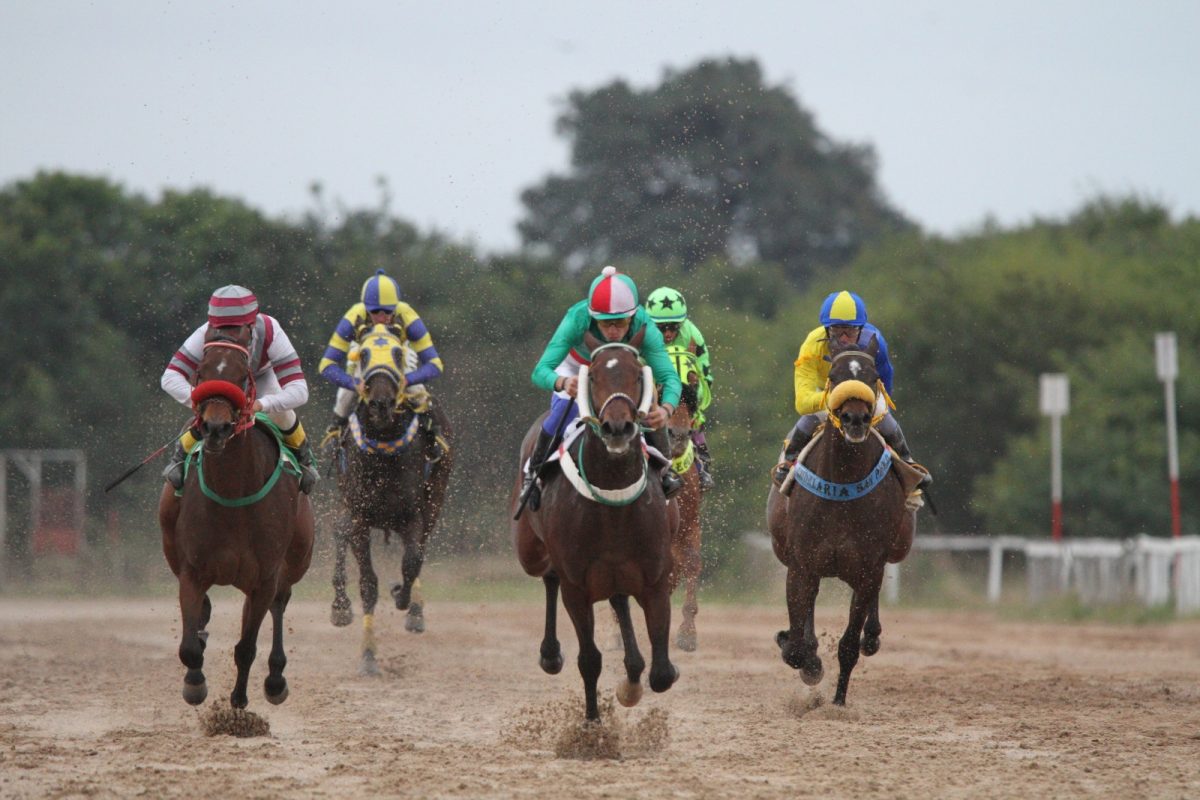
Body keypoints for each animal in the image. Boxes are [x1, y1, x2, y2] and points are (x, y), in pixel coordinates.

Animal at [156, 321, 314, 710]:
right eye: (201, 372)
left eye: (243, 376)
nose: (215, 428)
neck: (233, 495)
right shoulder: (192, 570)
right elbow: (190, 647)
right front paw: (194, 683)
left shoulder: (265, 577)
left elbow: (246, 647)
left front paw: (239, 703)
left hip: (295, 560)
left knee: (278, 605)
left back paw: (275, 679)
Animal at [328, 326, 451, 676]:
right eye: (363, 354)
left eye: (397, 354)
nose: (381, 403)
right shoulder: (359, 515)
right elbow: (368, 583)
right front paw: (368, 657)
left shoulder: (413, 514)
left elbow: (411, 562)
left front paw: (402, 598)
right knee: (339, 529)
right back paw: (340, 606)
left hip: (434, 501)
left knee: (419, 551)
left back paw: (415, 613)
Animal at [513, 328, 681, 724]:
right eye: (595, 377)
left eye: (637, 376)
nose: (617, 427)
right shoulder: (577, 585)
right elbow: (589, 659)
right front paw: (591, 725)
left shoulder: (655, 578)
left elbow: (662, 672)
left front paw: (631, 687)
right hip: (530, 551)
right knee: (549, 577)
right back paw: (550, 654)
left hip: (617, 573)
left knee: (619, 600)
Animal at [768, 335, 916, 705]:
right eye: (833, 375)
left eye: (872, 376)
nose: (855, 419)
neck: (844, 482)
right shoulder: (801, 565)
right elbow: (798, 642)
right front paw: (806, 660)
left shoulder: (868, 568)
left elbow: (848, 644)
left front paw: (837, 701)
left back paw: (871, 636)